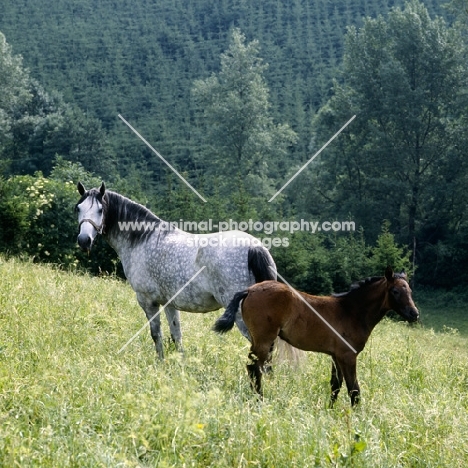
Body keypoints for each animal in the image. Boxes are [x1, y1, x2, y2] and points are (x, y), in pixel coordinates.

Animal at [75, 183, 276, 358]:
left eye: (100, 210)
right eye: (78, 208)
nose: (84, 240)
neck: (142, 239)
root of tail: (254, 247)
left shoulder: (148, 301)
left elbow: (156, 334)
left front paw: (160, 362)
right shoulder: (169, 303)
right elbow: (176, 335)